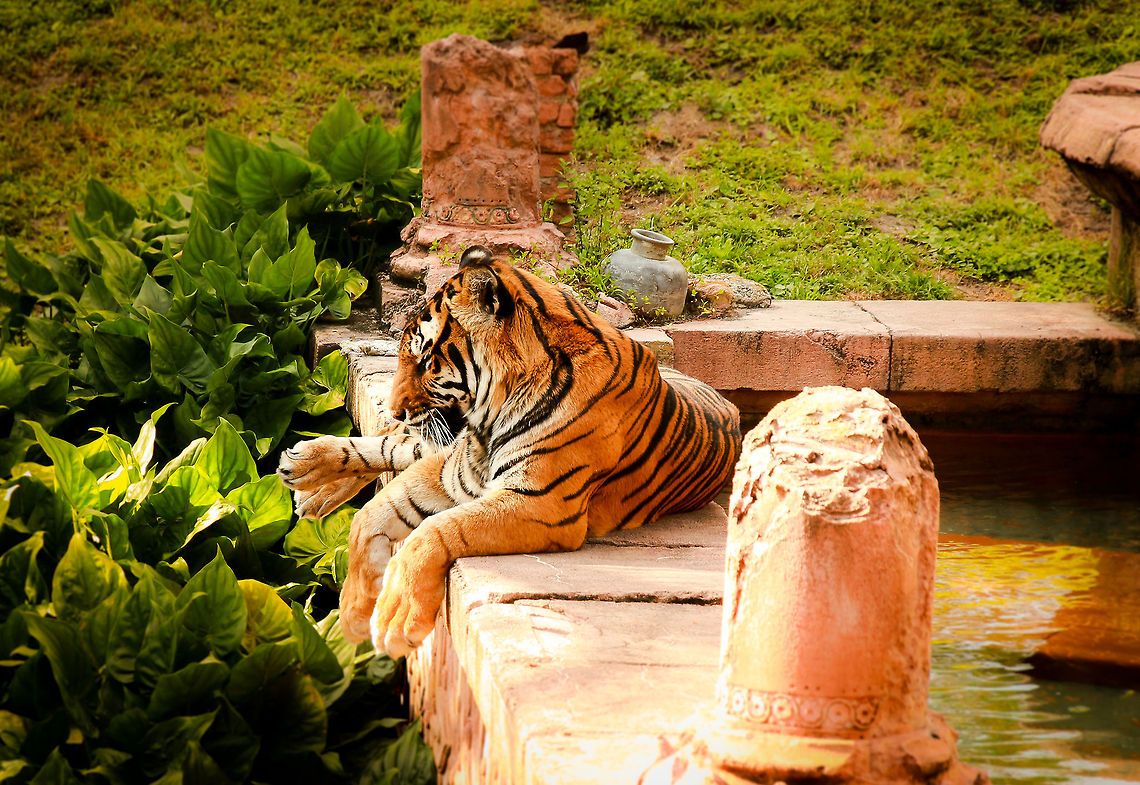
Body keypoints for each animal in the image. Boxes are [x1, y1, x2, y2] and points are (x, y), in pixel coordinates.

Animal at [277, 246, 742, 658]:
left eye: (425, 361)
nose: (394, 409)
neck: (496, 410)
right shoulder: (456, 469)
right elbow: (371, 513)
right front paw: (353, 617)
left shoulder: (540, 503)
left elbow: (435, 527)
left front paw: (394, 620)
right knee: (393, 443)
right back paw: (305, 473)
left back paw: (310, 485)